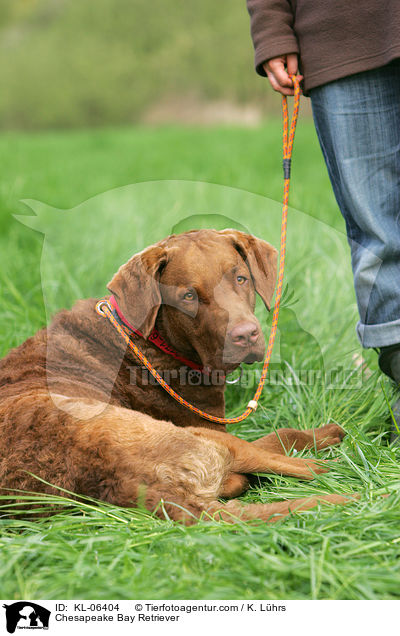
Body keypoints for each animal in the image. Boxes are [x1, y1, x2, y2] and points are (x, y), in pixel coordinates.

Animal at [0, 229, 352, 520]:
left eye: (241, 279)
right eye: (189, 296)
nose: (246, 335)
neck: (153, 338)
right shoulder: (208, 429)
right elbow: (278, 437)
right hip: (198, 438)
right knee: (301, 465)